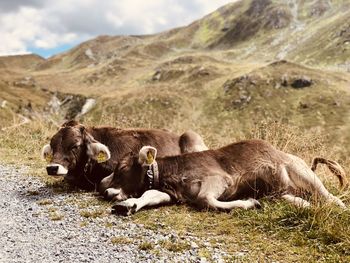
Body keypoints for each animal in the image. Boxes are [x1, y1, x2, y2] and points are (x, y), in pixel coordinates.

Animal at [110, 140, 346, 217]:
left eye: (122, 168)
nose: (107, 191)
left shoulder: (219, 179)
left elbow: (206, 200)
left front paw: (250, 203)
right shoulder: (172, 194)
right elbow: (149, 194)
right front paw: (128, 204)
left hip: (302, 173)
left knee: (332, 198)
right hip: (282, 194)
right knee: (306, 203)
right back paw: (308, 207)